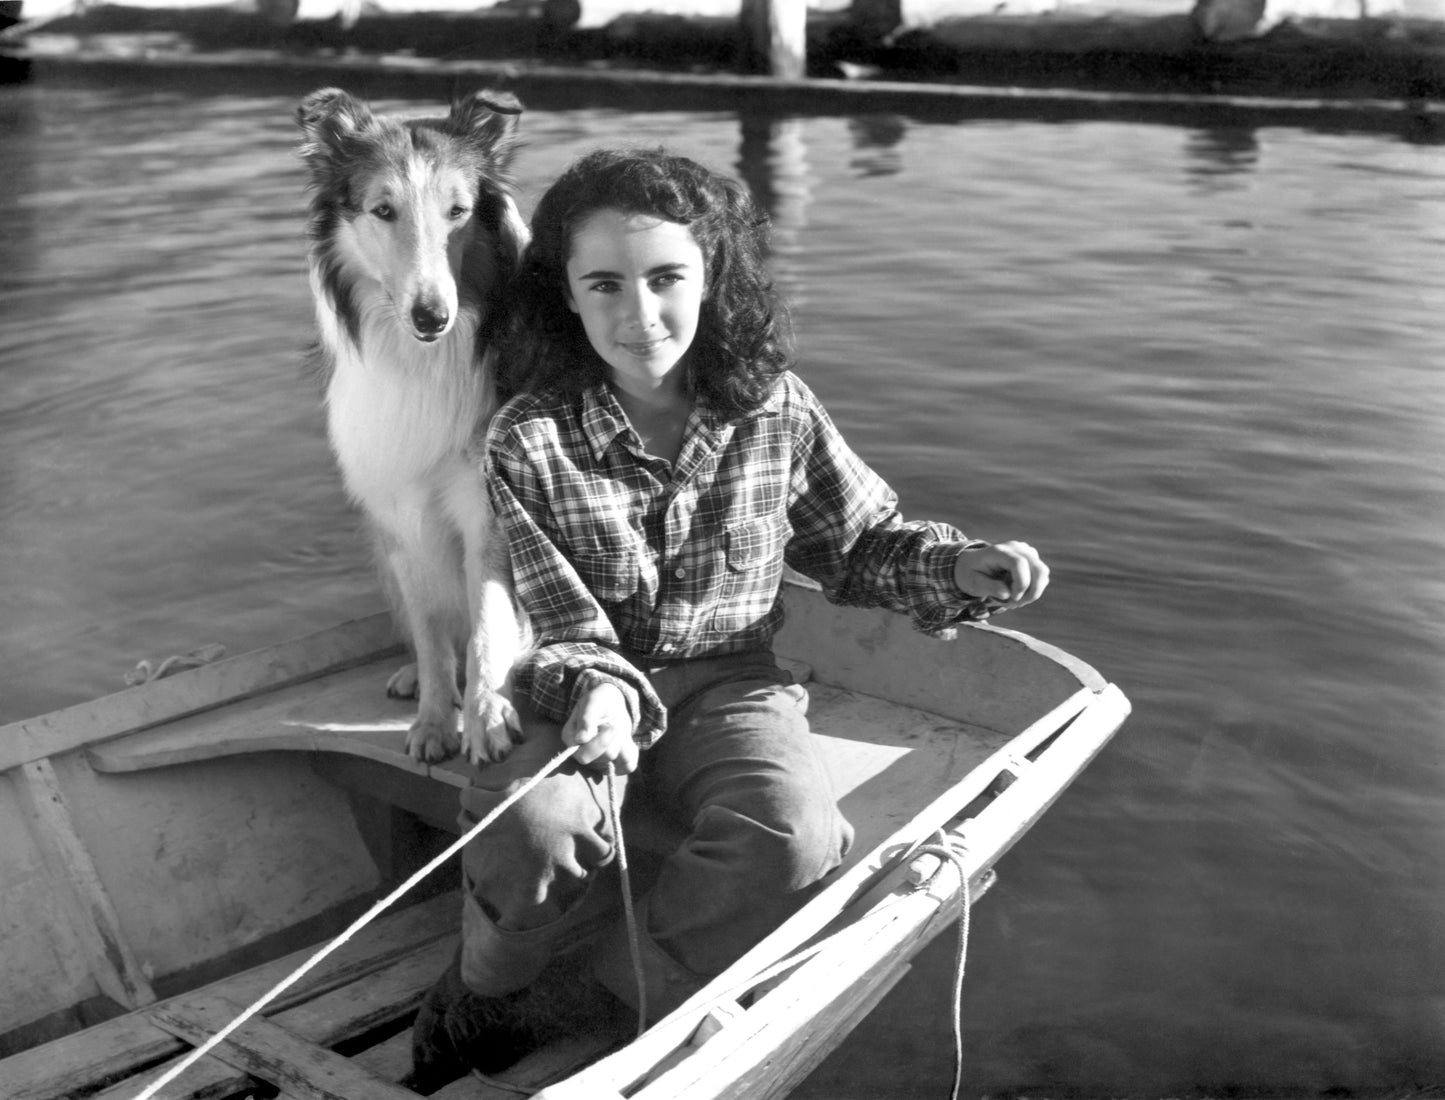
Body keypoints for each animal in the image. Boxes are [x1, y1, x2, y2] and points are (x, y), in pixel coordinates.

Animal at [299, 87, 531, 763]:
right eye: (383, 210)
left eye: (458, 212)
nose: (433, 316)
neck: (424, 360)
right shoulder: (398, 510)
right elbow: (431, 633)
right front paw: (433, 722)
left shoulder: (486, 510)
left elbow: (486, 625)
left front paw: (487, 718)